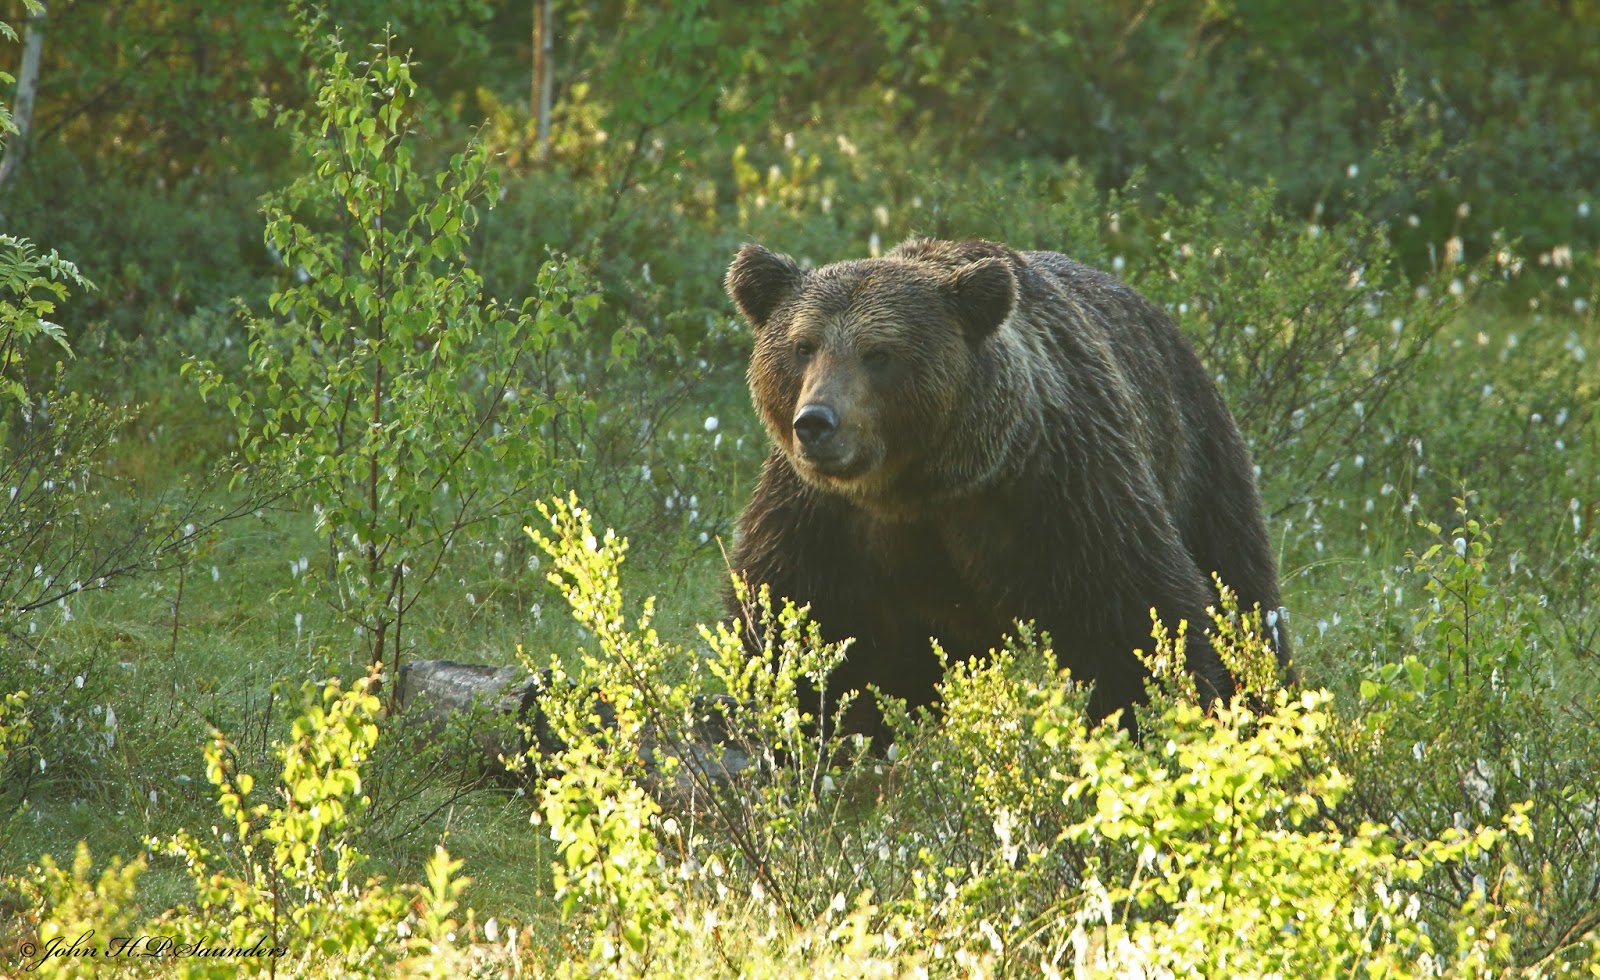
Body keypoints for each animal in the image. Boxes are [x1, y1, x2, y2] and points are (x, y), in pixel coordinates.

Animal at [722, 237, 1290, 740]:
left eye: (878, 353)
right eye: (803, 346)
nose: (816, 423)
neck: (921, 486)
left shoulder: (1061, 488)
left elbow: (1138, 614)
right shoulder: (822, 518)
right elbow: (788, 619)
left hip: (1199, 456)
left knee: (1243, 586)